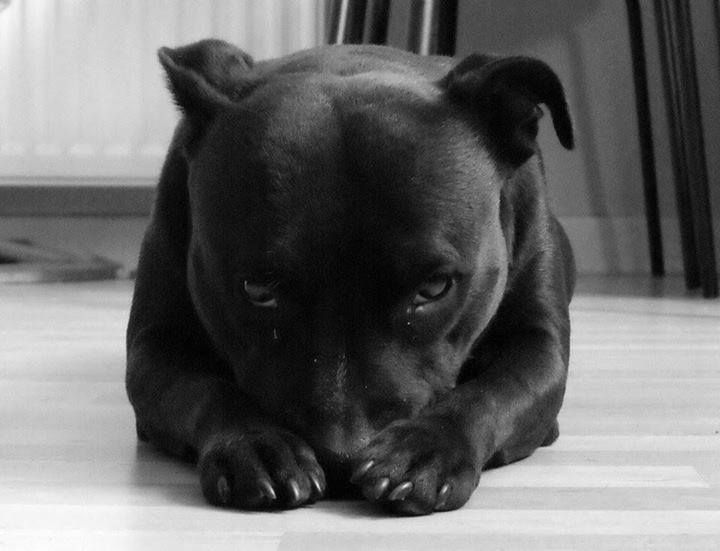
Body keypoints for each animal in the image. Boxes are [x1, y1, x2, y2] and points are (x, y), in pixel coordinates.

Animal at [128, 40, 572, 516]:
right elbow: (203, 391)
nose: (342, 456)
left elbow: (493, 392)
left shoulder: (540, 345)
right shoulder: (154, 347)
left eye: (434, 288)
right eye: (258, 291)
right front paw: (255, 444)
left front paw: (425, 449)